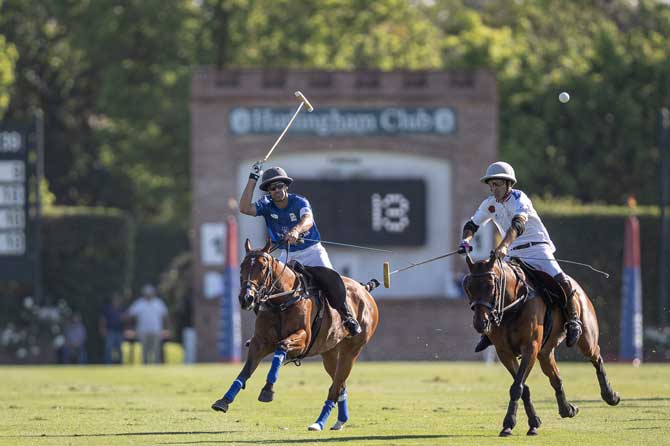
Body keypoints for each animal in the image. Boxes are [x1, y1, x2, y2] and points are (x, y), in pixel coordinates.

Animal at [211, 240, 378, 432]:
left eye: (263, 267)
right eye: (242, 266)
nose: (246, 298)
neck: (281, 300)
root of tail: (364, 290)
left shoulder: (303, 339)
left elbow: (282, 346)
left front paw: (268, 390)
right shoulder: (259, 342)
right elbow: (245, 370)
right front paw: (223, 401)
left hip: (351, 351)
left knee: (335, 386)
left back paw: (319, 423)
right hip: (329, 353)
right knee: (340, 384)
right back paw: (339, 421)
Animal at [464, 253, 624, 438]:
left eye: (490, 286)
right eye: (468, 287)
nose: (480, 323)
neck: (514, 304)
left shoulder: (530, 348)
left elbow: (517, 387)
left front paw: (509, 423)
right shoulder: (505, 352)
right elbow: (523, 387)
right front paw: (533, 423)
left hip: (586, 339)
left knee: (596, 357)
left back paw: (610, 395)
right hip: (545, 353)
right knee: (556, 378)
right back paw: (567, 409)